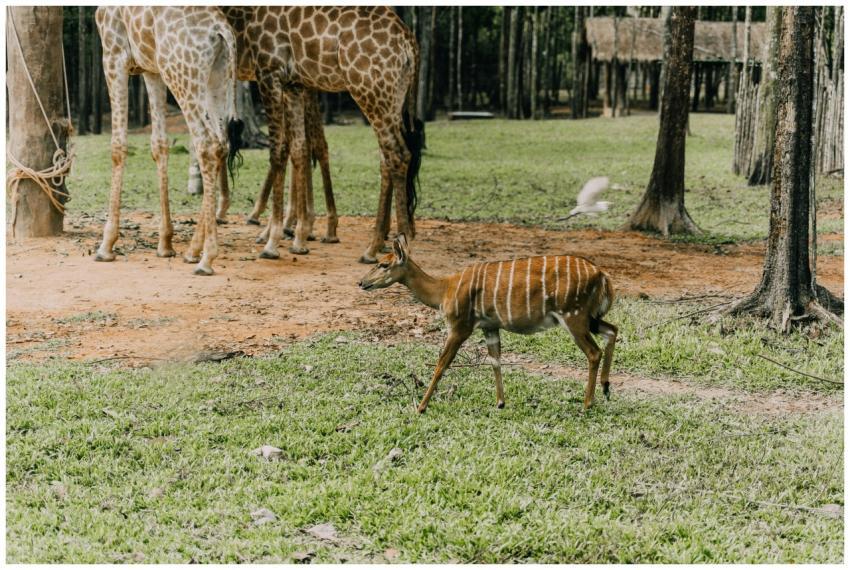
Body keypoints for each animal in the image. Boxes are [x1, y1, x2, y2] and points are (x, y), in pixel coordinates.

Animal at [94, 6, 243, 275]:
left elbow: (118, 145)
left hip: (181, 75)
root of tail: (221, 30)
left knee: (206, 144)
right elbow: (159, 144)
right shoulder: (151, 69)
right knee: (221, 144)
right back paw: (193, 250)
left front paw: (106, 245)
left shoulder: (113, 53)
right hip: (217, 76)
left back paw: (206, 259)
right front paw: (165, 243)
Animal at [219, 6, 424, 263]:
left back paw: (398, 246)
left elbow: (279, 151)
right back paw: (375, 246)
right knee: (387, 157)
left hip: (370, 90)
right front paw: (297, 236)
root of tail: (409, 45)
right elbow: (298, 148)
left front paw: (274, 239)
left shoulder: (270, 73)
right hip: (391, 98)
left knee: (397, 154)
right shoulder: (294, 83)